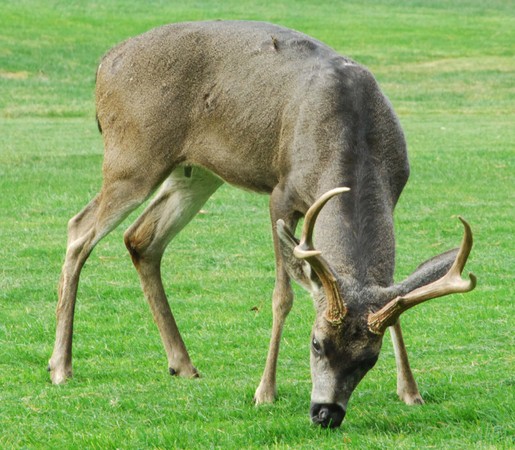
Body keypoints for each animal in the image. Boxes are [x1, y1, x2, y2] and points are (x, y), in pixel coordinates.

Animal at [48, 20, 476, 428]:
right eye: (316, 343)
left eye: (369, 359)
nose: (326, 413)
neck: (352, 138)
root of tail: (105, 62)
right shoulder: (281, 194)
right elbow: (282, 296)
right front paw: (264, 391)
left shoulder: (396, 190)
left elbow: (394, 294)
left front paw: (411, 391)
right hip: (132, 158)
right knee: (79, 229)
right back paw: (61, 366)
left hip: (196, 172)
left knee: (141, 239)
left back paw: (182, 364)